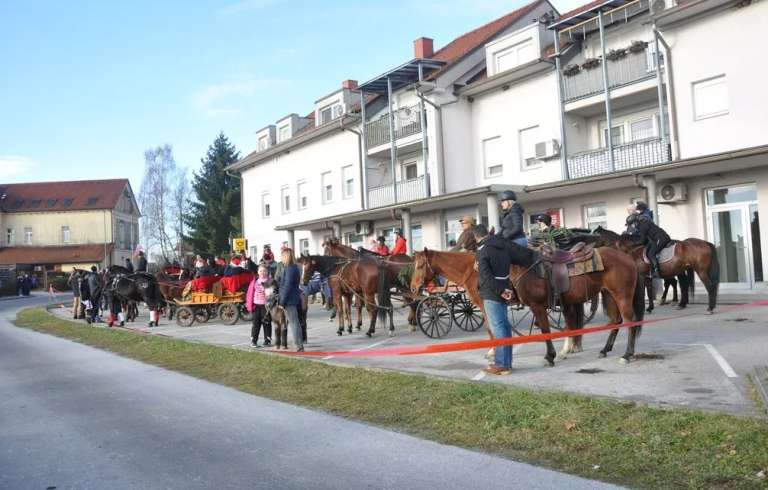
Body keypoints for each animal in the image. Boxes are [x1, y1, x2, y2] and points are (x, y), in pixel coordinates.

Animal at [412, 245, 644, 364]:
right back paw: (604, 350)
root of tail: (628, 257)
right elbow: (496, 328)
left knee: (630, 321)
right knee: (615, 321)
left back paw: (627, 354)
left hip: (621, 295)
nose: (413, 288)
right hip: (608, 295)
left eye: (420, 265)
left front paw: (549, 356)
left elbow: (542, 330)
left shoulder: (534, 305)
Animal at [592, 227, 720, 314]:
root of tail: (705, 242)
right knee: (682, 285)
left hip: (700, 271)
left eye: (595, 237)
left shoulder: (642, 276)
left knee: (709, 286)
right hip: (683, 270)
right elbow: (649, 291)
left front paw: (645, 308)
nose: (592, 252)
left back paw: (709, 308)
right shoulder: (647, 276)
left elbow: (645, 292)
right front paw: (649, 308)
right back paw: (681, 304)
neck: (634, 250)